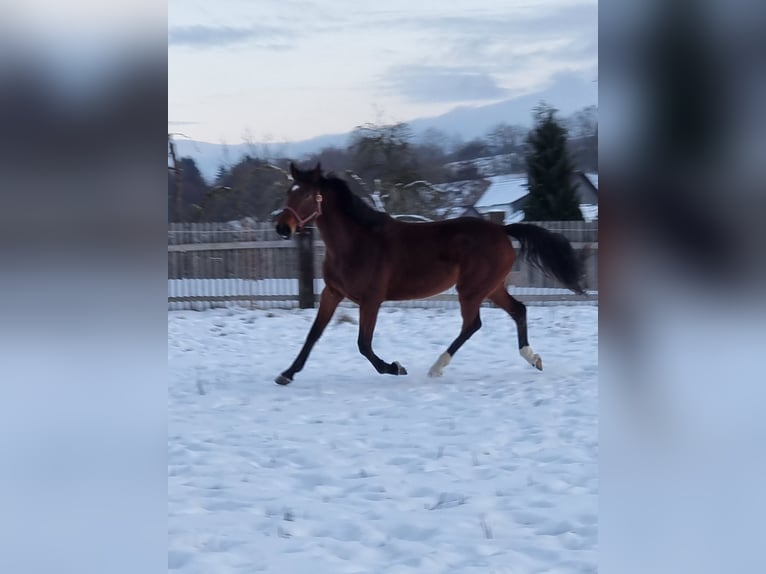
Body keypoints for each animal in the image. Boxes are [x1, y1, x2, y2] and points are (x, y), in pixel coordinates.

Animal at [273, 162, 585, 385]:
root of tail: (502, 229)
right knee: (518, 310)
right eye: (289, 192)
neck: (357, 242)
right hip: (492, 287)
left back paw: (436, 367)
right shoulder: (332, 292)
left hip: (471, 289)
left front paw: (395, 367)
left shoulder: (371, 299)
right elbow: (313, 334)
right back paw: (533, 358)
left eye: (307, 194)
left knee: (473, 324)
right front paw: (286, 374)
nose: (282, 228)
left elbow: (363, 344)